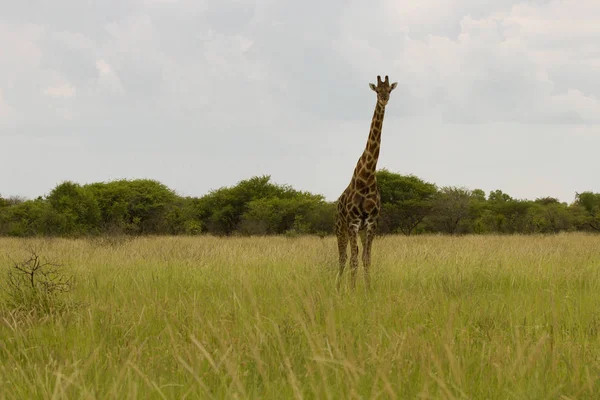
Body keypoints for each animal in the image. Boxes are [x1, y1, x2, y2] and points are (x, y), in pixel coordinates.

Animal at [336, 73, 396, 290]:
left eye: (389, 89)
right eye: (377, 90)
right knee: (343, 258)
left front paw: (368, 290)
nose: (384, 99)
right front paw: (352, 290)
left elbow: (366, 259)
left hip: (359, 231)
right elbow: (354, 259)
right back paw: (338, 287)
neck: (367, 176)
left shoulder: (370, 224)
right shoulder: (353, 223)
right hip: (340, 228)